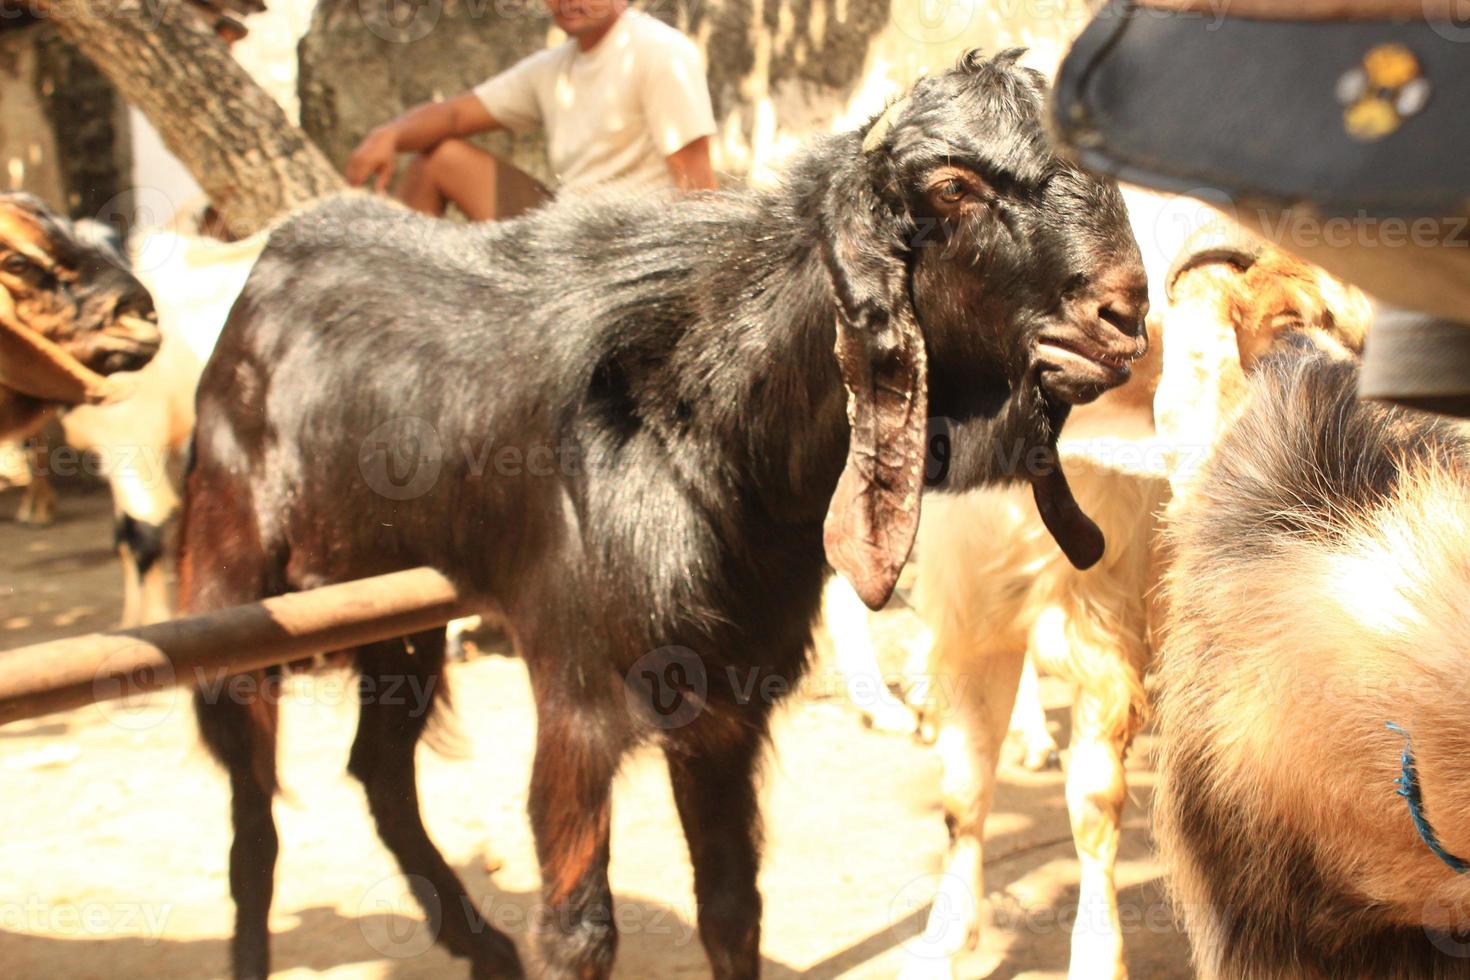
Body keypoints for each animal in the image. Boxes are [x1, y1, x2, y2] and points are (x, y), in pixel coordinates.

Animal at [180, 51, 1146, 980]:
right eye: (951, 187)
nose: (1125, 310)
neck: (699, 420)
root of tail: (265, 274)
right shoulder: (578, 697)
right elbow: (580, 929)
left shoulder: (724, 705)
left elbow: (733, 907)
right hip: (230, 577)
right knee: (253, 817)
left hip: (395, 613)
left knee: (377, 767)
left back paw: (480, 945)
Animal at [899, 230, 1370, 980]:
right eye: (1281, 328)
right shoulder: (973, 606)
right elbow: (963, 790)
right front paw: (943, 941)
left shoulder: (1110, 624)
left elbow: (1094, 804)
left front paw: (1096, 957)